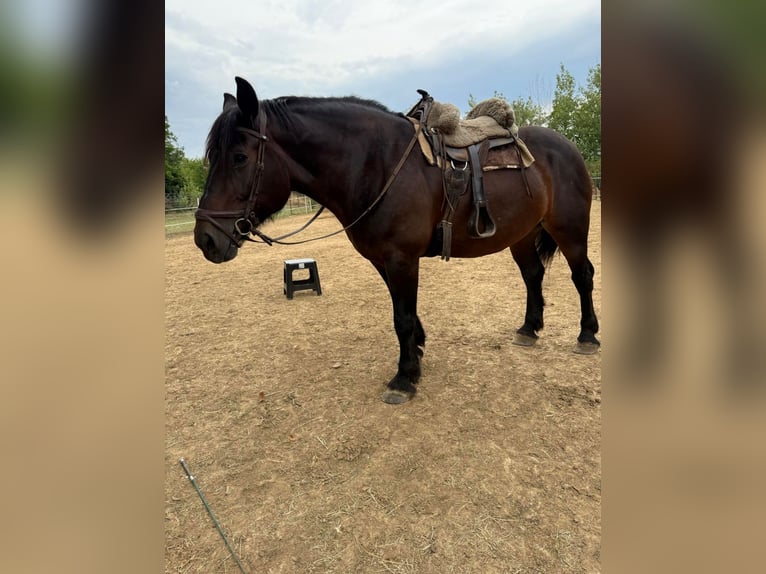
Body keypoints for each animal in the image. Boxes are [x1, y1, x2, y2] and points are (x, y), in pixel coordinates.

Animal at [194, 77, 599, 404]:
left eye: (239, 157)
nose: (205, 239)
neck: (377, 163)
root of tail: (567, 145)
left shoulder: (402, 257)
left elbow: (401, 317)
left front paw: (404, 379)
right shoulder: (383, 259)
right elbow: (404, 313)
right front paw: (416, 355)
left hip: (570, 229)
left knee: (582, 276)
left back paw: (587, 336)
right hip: (522, 233)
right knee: (533, 275)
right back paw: (529, 329)